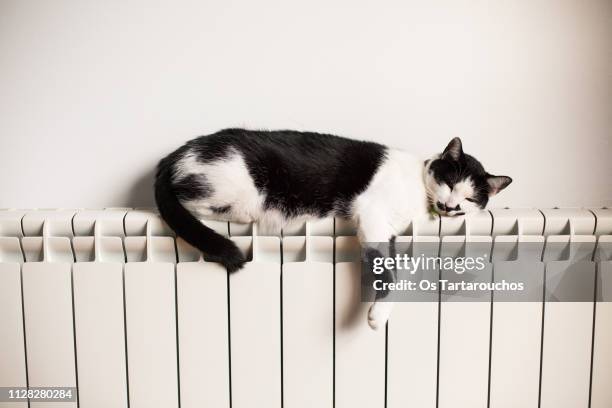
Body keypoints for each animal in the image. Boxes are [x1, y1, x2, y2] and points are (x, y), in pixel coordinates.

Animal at [154, 129, 512, 330]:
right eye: (450, 182)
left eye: (469, 198)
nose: (451, 207)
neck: (420, 198)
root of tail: (174, 156)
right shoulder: (372, 212)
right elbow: (388, 268)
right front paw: (378, 314)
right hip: (238, 191)